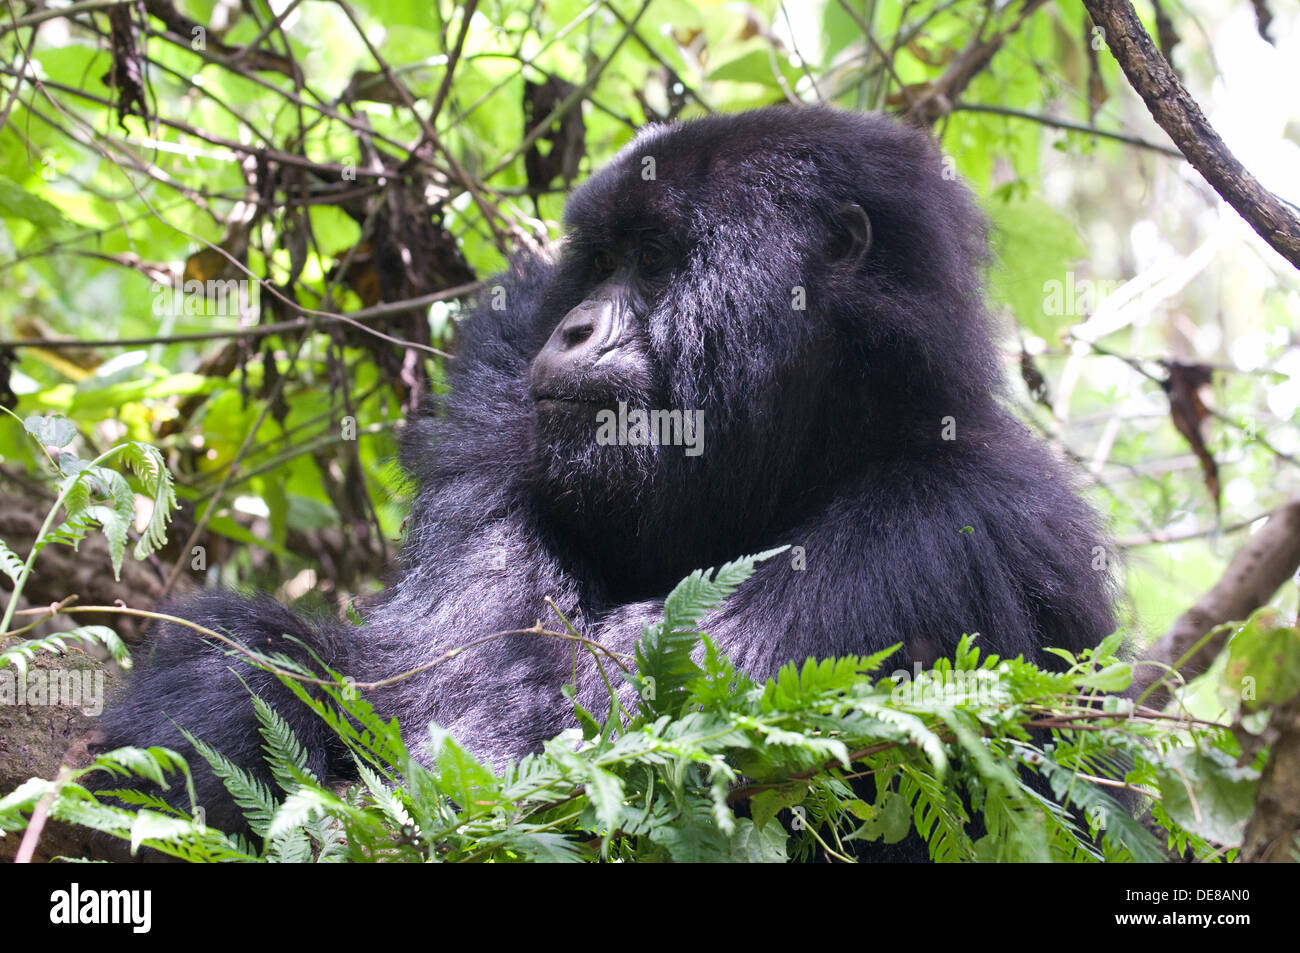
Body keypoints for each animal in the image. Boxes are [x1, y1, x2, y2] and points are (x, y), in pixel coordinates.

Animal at [101, 107, 1118, 842]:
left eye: (658, 262)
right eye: (597, 264)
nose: (575, 327)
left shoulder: (953, 523)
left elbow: (570, 747)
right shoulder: (506, 350)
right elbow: (417, 671)